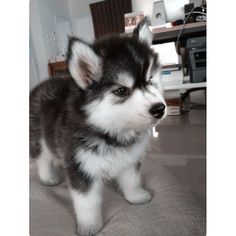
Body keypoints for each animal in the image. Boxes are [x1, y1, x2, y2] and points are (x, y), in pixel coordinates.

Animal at [30, 18, 166, 236]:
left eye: (150, 79)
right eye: (121, 91)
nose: (159, 109)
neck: (111, 132)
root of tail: (39, 85)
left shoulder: (129, 160)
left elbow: (132, 181)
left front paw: (137, 197)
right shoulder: (82, 168)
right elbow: (87, 204)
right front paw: (89, 227)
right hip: (38, 140)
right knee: (42, 158)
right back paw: (48, 177)